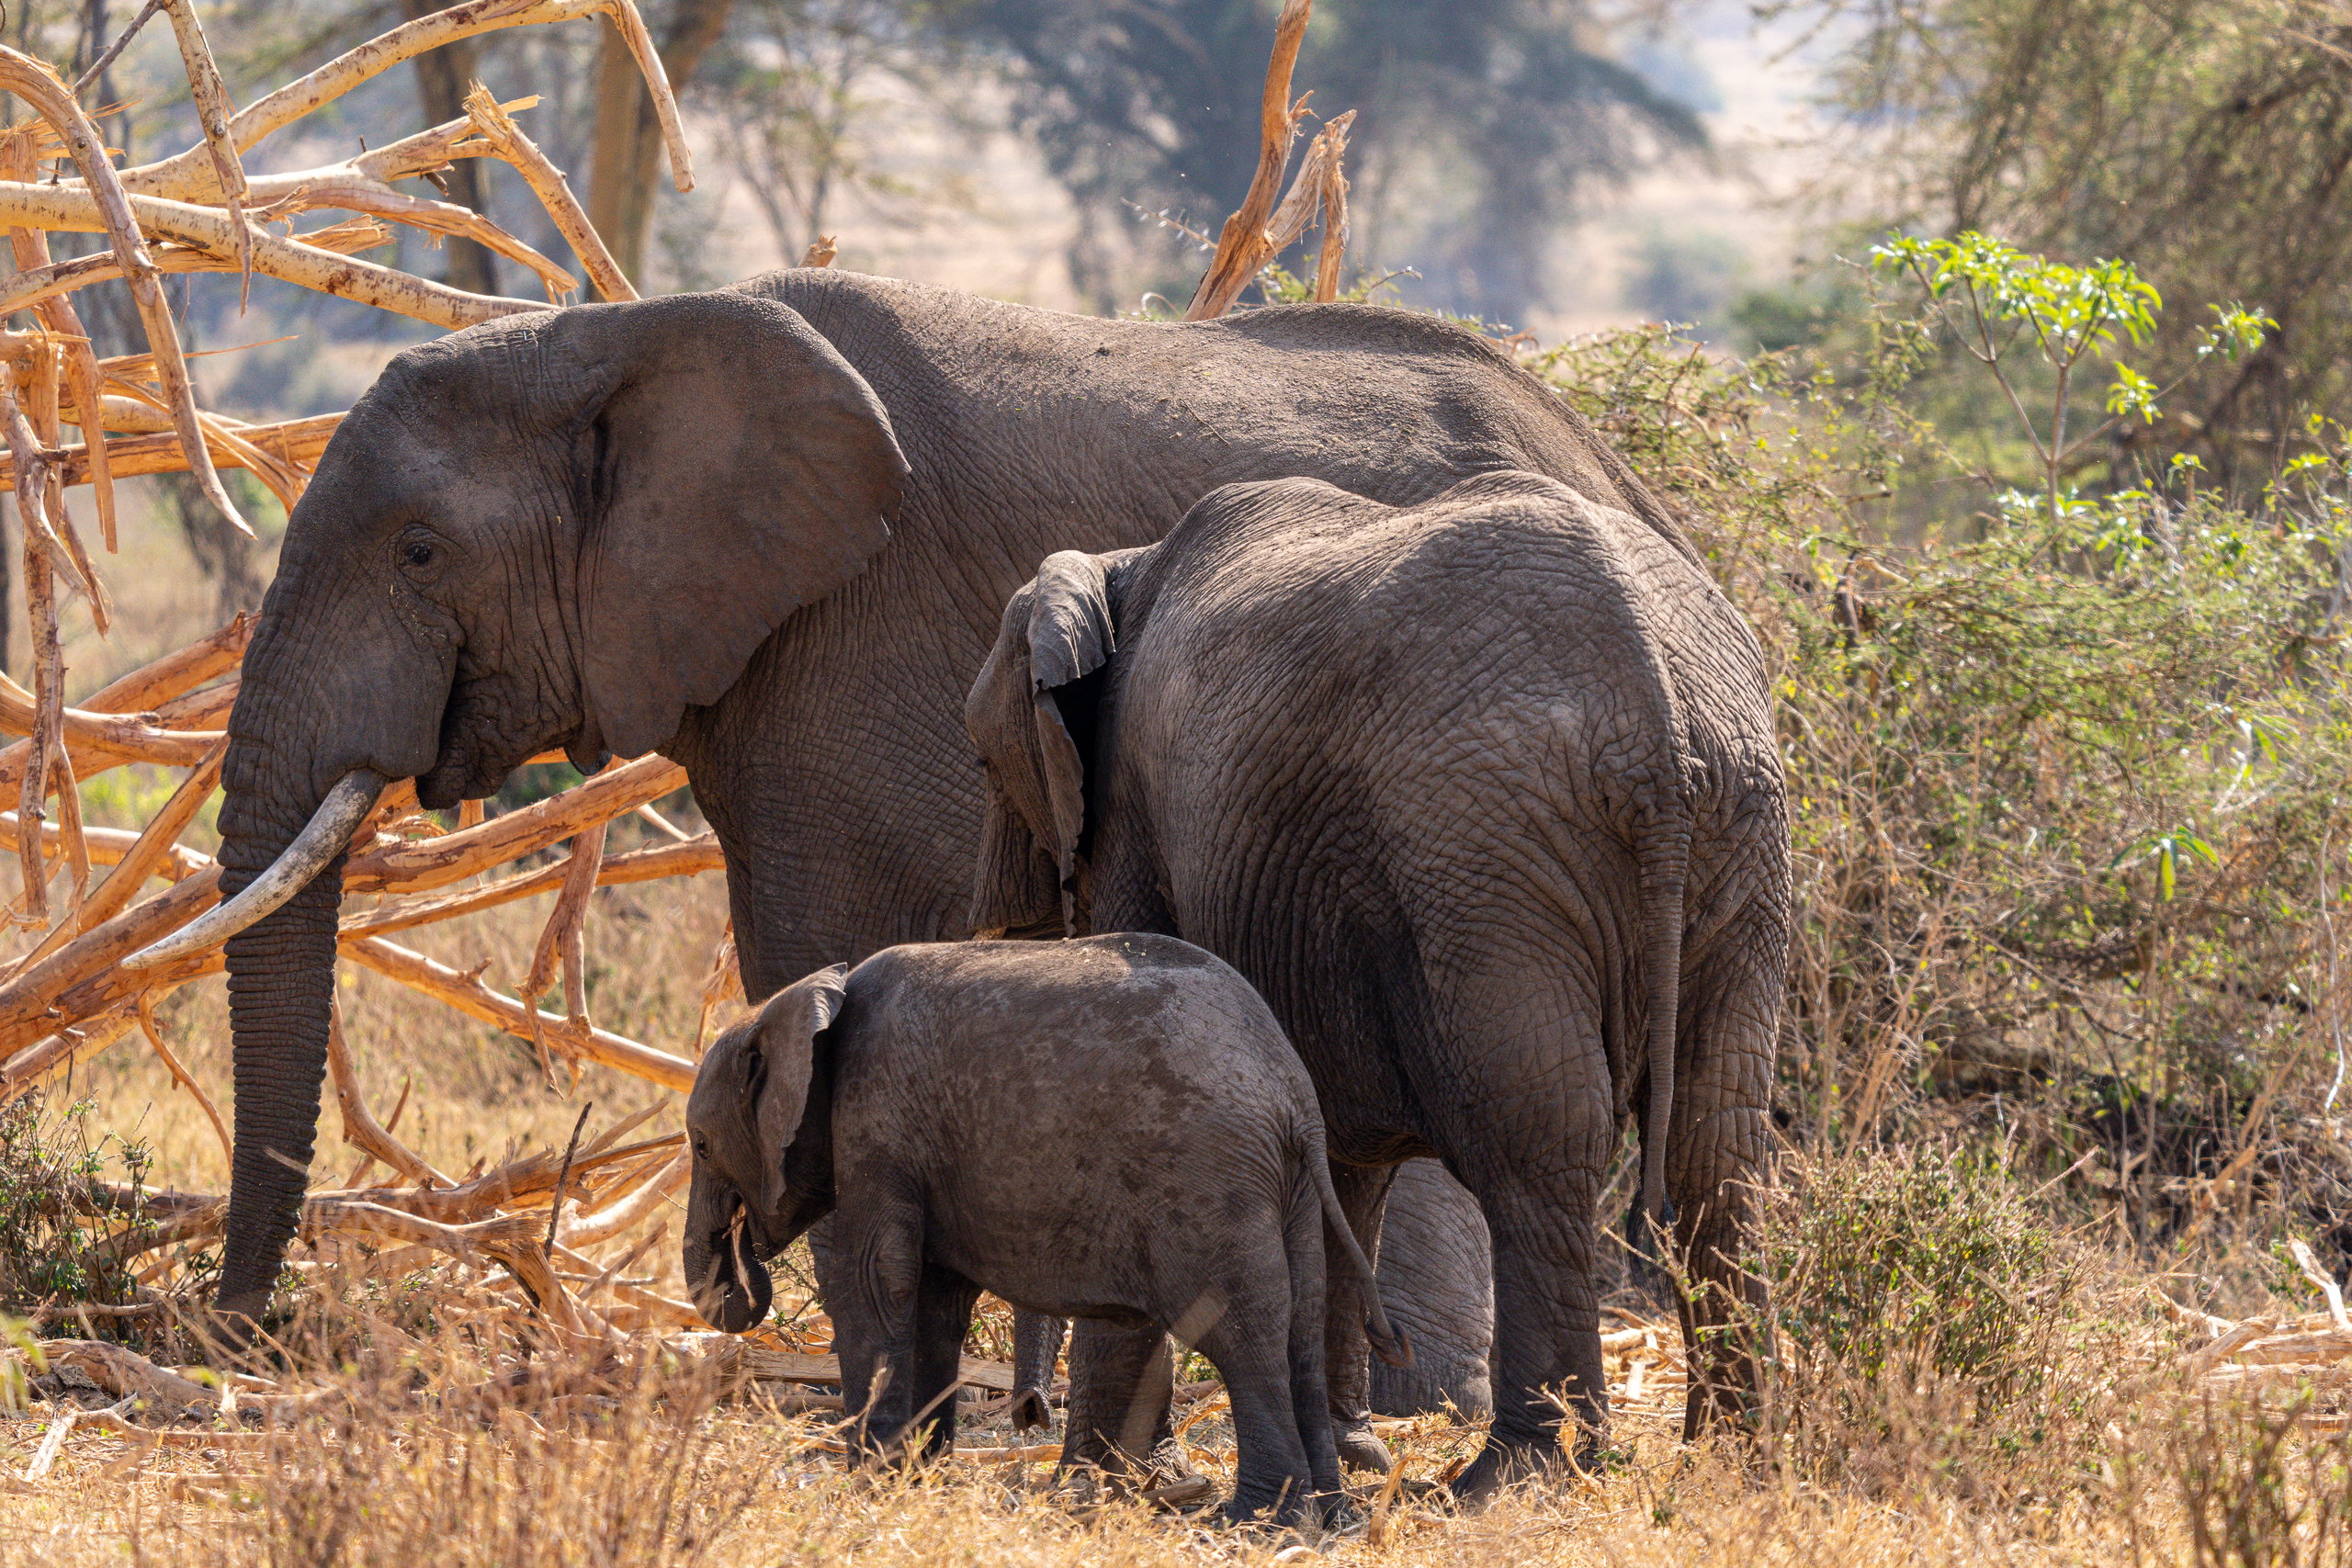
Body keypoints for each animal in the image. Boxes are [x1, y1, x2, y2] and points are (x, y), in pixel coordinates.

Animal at [165, 267, 1694, 1459]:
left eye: (422, 550)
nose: (237, 1340)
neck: (602, 334)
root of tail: (1636, 483)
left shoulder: (835, 648)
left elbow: (809, 956)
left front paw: (872, 1428)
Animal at [681, 934, 1408, 1524]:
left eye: (701, 1146)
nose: (746, 1254)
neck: (804, 1001)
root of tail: (1293, 1091)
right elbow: (933, 1300)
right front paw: (917, 1476)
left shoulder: (874, 1125)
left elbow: (871, 1283)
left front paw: (872, 1483)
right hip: (1290, 1187)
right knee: (1299, 1334)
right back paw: (1329, 1520)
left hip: (1208, 1184)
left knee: (1242, 1336)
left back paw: (1255, 1523)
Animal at [964, 471, 1791, 1495]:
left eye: (985, 763)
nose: (1025, 1415)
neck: (1121, 566)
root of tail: (1657, 708)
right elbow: (1335, 1146)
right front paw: (1346, 1458)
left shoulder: (1133, 811)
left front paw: (1108, 1485)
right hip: (1738, 828)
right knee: (1721, 1139)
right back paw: (1732, 1456)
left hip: (1484, 853)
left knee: (1538, 1140)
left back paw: (1514, 1477)